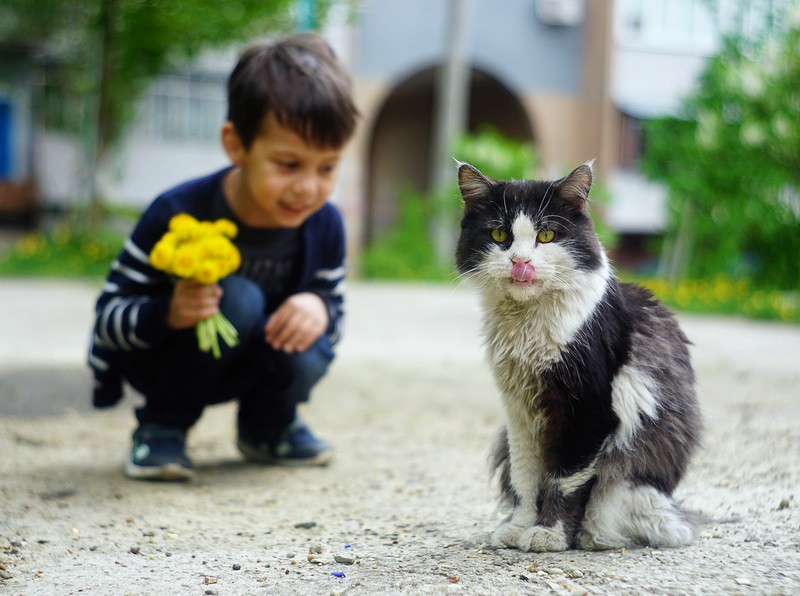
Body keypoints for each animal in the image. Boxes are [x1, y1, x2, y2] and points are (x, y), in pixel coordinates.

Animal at [454, 161, 704, 552]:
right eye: (498, 235)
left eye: (546, 236)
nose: (520, 261)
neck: (528, 322)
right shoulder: (518, 413)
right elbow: (525, 477)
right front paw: (519, 527)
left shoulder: (590, 410)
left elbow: (565, 481)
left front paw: (549, 535)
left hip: (630, 475)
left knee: (622, 516)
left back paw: (588, 536)